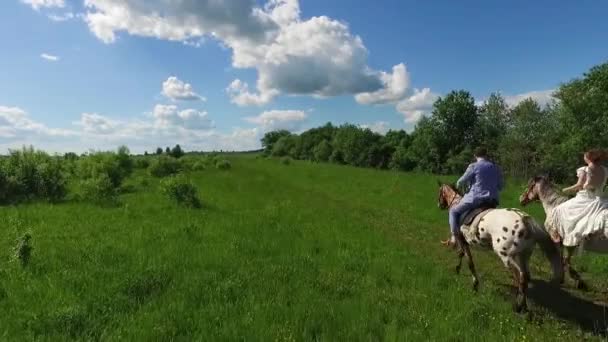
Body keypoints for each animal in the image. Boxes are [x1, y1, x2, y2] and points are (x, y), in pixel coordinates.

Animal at [440, 182, 564, 312]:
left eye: (439, 193)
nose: (440, 205)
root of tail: (525, 220)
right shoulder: (464, 242)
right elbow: (461, 255)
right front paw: (458, 269)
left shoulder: (462, 241)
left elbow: (470, 263)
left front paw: (474, 284)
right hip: (524, 255)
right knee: (525, 276)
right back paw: (523, 306)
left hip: (506, 256)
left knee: (520, 276)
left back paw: (518, 306)